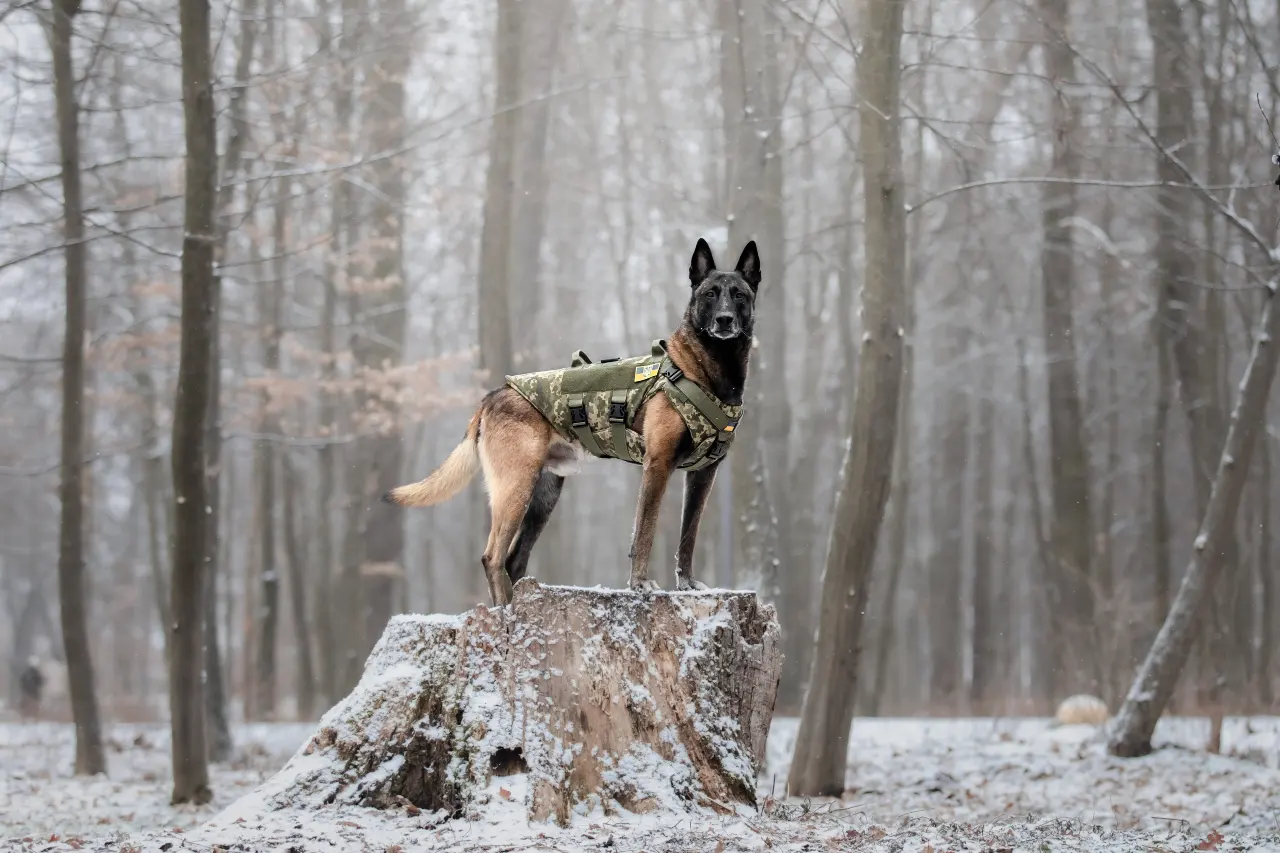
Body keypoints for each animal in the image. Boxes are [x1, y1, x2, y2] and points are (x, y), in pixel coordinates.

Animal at [384, 235, 752, 601]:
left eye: (739, 295)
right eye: (709, 294)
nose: (724, 320)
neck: (702, 370)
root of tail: (493, 395)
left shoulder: (702, 476)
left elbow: (688, 536)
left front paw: (688, 584)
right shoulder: (657, 466)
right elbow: (644, 532)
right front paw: (640, 584)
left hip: (543, 496)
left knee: (514, 560)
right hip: (516, 489)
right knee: (493, 557)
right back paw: (504, 609)